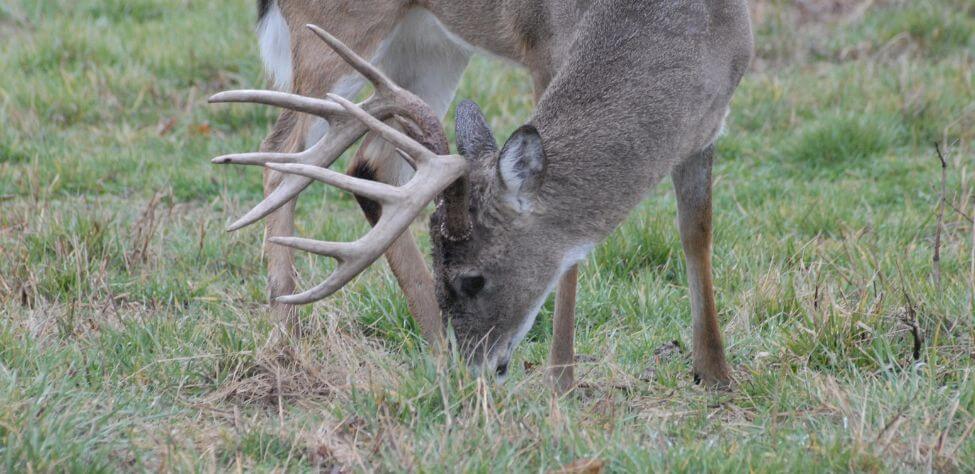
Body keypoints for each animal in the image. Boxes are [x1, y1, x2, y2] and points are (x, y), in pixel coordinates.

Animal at [210, 0, 754, 392]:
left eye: (472, 279)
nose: (481, 369)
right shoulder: (544, 48)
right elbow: (570, 256)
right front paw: (562, 381)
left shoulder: (712, 121)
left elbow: (696, 232)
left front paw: (715, 372)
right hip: (331, 29)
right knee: (281, 156)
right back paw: (284, 339)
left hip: (430, 42)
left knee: (370, 160)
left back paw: (434, 346)